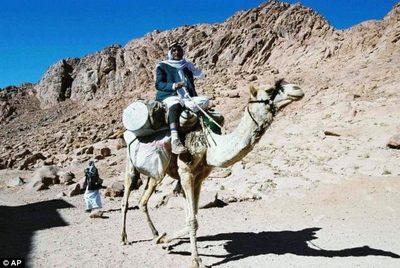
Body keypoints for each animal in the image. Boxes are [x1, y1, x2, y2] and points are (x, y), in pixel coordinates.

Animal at [120, 78, 304, 266]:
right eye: (269, 90)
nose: (297, 89)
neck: (210, 146)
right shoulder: (186, 172)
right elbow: (192, 220)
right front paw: (195, 260)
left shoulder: (199, 177)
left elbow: (193, 218)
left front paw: (164, 240)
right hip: (131, 162)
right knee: (126, 196)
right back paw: (124, 238)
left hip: (158, 173)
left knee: (143, 200)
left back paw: (155, 234)